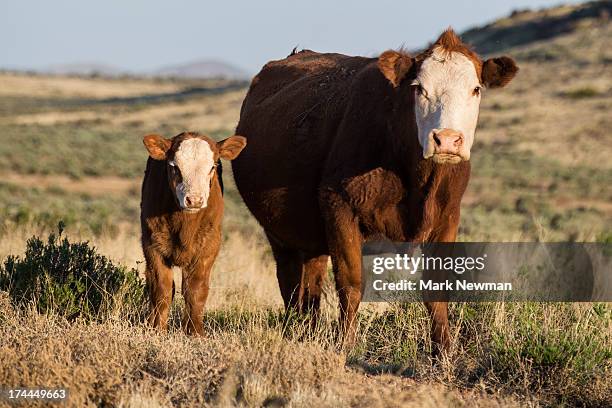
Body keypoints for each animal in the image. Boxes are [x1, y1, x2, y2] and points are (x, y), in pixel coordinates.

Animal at [141, 131, 246, 334]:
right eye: (174, 166)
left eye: (212, 166)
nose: (195, 200)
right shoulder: (152, 244)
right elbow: (162, 288)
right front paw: (157, 329)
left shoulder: (209, 247)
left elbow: (196, 289)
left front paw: (195, 332)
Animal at [232, 29, 520, 354]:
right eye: (419, 89)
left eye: (476, 89)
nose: (447, 140)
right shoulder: (339, 206)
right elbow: (351, 284)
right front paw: (344, 345)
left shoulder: (447, 218)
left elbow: (436, 289)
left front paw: (443, 352)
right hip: (279, 233)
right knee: (291, 282)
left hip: (311, 234)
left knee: (311, 285)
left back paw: (309, 331)